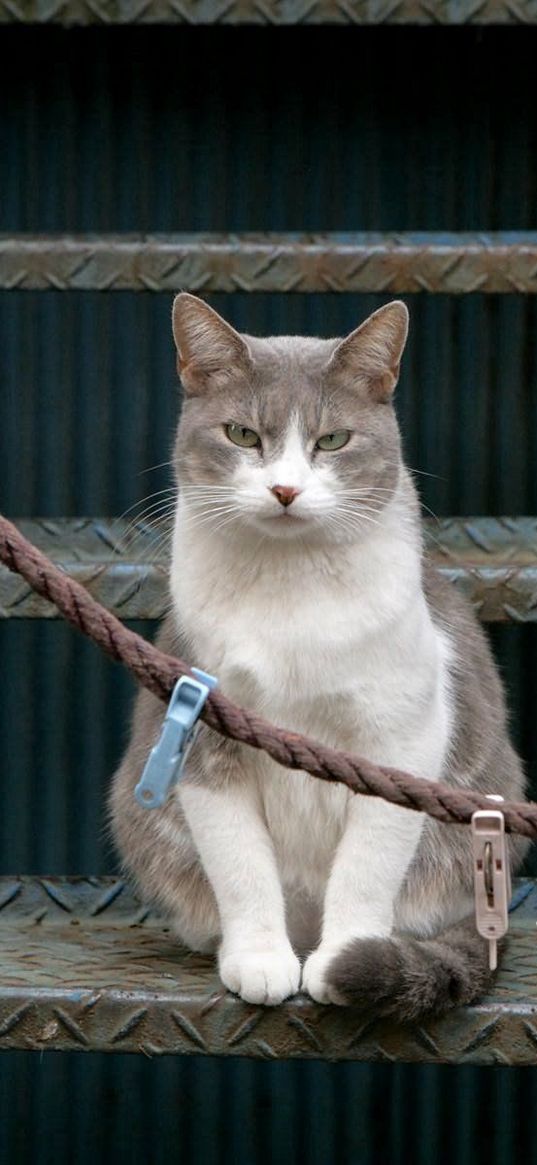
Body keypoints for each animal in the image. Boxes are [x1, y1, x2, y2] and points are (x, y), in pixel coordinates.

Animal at [107, 293, 524, 1020]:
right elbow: (240, 865)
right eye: (242, 434)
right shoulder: (203, 737)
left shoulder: (399, 741)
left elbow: (367, 864)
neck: (289, 586)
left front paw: (344, 961)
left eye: (332, 441)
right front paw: (259, 960)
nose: (284, 490)